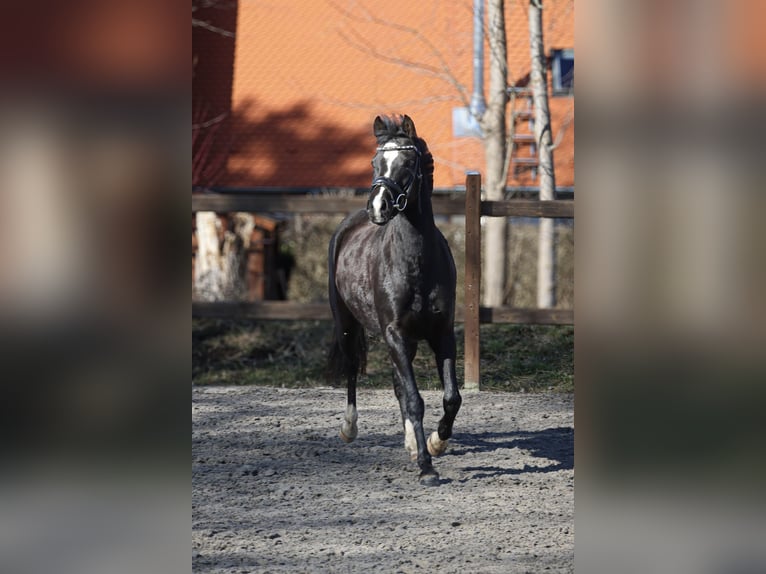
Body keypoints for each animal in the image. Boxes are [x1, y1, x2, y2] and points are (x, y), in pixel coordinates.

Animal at [328, 116, 462, 486]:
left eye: (407, 162)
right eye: (375, 163)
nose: (378, 207)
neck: (416, 262)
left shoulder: (441, 333)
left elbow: (450, 397)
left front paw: (434, 443)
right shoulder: (395, 334)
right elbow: (415, 400)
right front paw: (427, 469)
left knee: (398, 384)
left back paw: (413, 444)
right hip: (347, 325)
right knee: (352, 369)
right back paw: (349, 428)